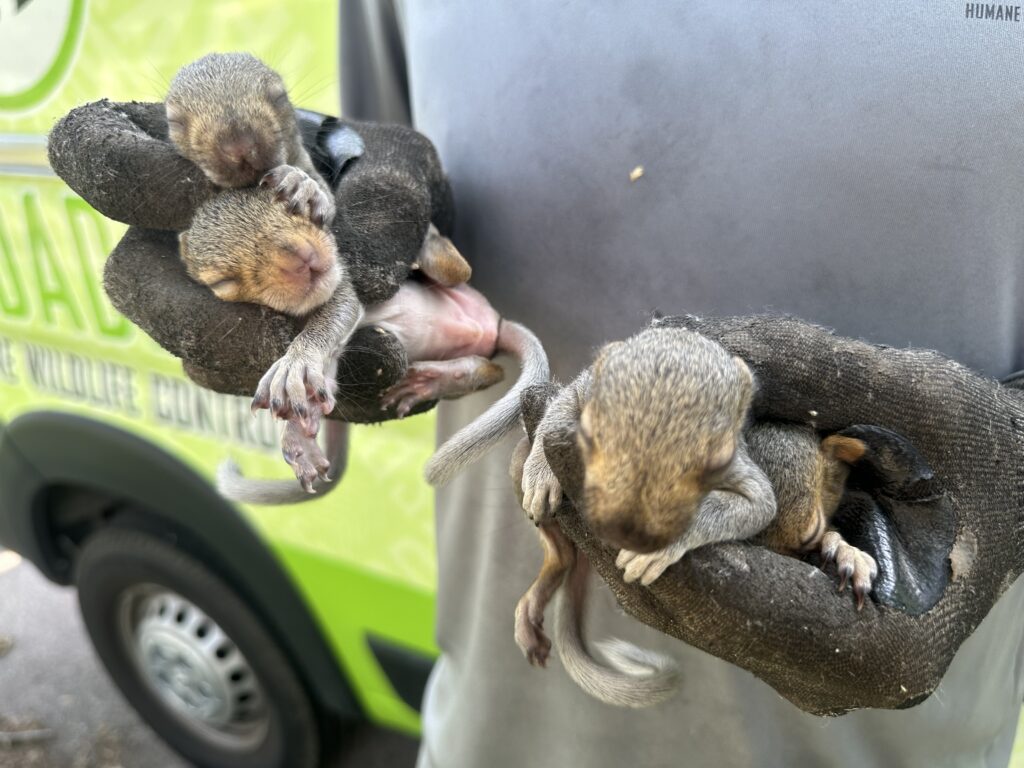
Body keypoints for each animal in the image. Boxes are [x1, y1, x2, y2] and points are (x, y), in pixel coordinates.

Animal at [179, 185, 549, 502]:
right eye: (222, 282)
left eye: (293, 206)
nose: (301, 256)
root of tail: (493, 324)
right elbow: (325, 378)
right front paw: (299, 435)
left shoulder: (345, 285)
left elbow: (335, 314)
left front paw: (294, 364)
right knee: (492, 370)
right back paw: (437, 379)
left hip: (455, 282)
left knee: (458, 273)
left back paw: (429, 248)